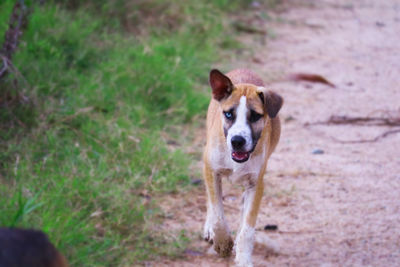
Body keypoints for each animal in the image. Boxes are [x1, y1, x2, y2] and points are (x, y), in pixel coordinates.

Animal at [202, 68, 282, 266]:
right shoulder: (211, 170)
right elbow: (217, 214)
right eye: (229, 114)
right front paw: (222, 242)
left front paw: (243, 258)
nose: (237, 141)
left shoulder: (256, 184)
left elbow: (247, 227)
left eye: (255, 116)